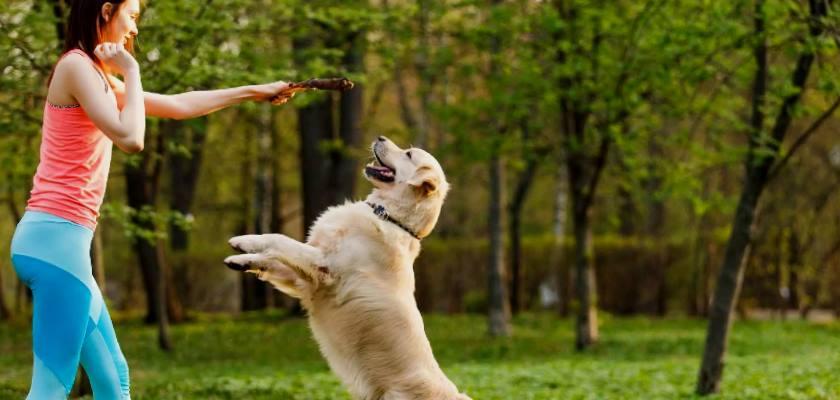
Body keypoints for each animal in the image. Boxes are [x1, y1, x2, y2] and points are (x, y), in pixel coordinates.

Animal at [226, 136, 470, 398]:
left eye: (409, 154)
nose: (380, 137)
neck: (388, 215)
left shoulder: (324, 266)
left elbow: (279, 239)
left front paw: (245, 240)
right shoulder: (305, 281)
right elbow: (271, 260)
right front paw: (240, 259)